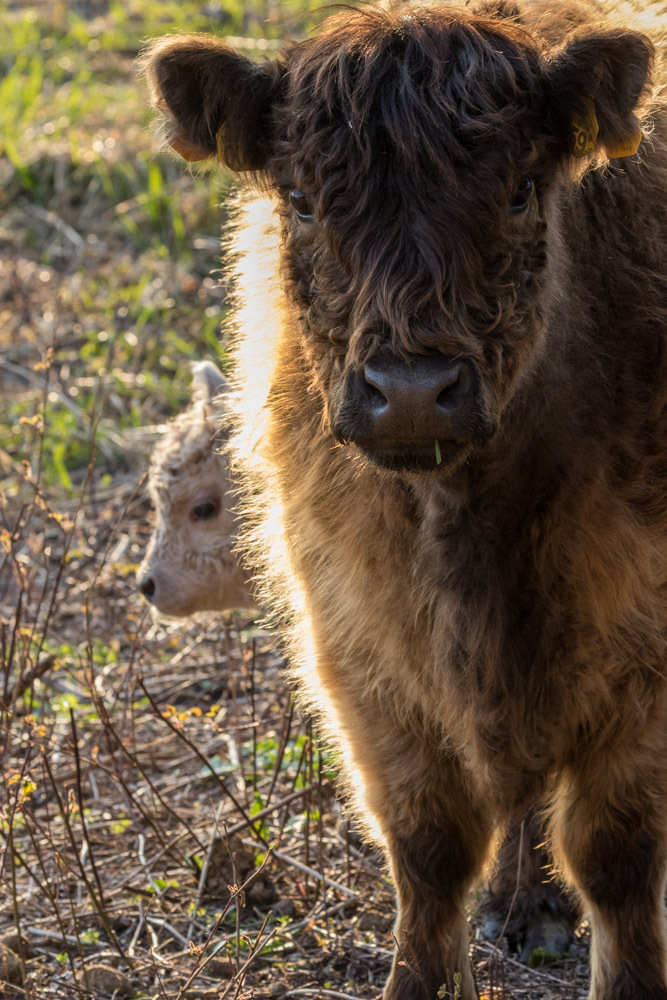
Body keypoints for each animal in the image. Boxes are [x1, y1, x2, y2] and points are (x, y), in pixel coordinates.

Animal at [144, 3, 664, 996]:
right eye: (302, 201)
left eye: (518, 192)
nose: (413, 392)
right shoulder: (359, 650)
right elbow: (427, 851)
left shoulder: (639, 662)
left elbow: (617, 860)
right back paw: (520, 907)